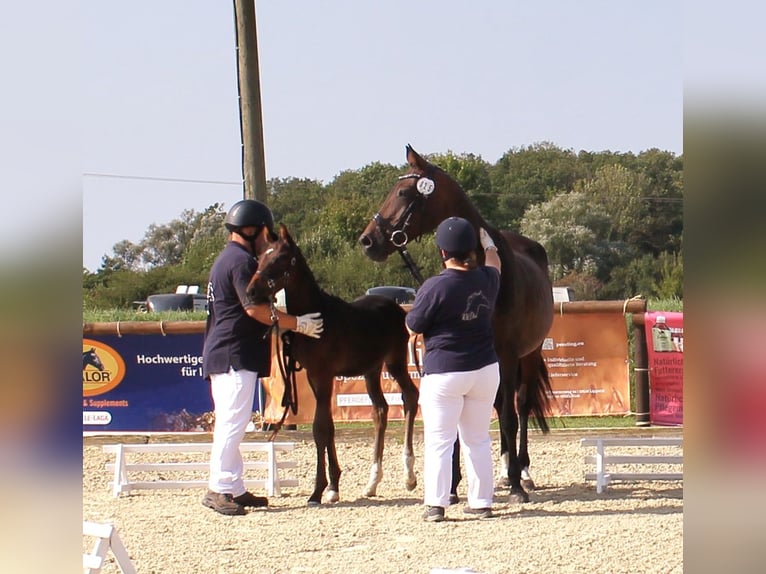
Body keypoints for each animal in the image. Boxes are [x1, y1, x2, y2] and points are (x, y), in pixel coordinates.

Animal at [248, 225, 420, 508]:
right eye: (261, 257)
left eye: (281, 258)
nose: (251, 292)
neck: (319, 316)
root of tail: (399, 309)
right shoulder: (314, 377)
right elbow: (328, 427)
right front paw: (333, 487)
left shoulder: (324, 375)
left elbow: (320, 428)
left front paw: (317, 491)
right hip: (371, 370)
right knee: (380, 410)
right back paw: (372, 482)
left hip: (395, 363)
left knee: (410, 397)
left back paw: (409, 475)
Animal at [356, 145, 556, 504]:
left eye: (403, 192)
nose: (367, 241)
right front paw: (451, 487)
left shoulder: (507, 356)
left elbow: (508, 417)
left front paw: (516, 486)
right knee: (499, 405)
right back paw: (503, 470)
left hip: (529, 355)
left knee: (520, 406)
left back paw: (522, 472)